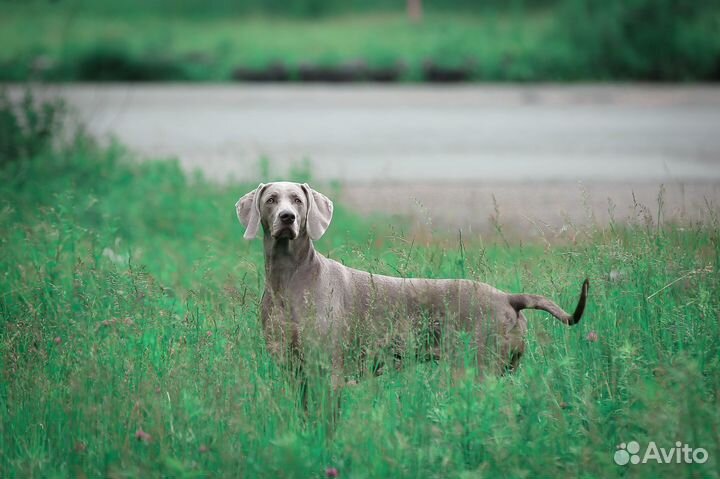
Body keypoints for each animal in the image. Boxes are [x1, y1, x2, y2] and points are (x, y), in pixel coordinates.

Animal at [239, 182, 588, 388]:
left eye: (298, 200)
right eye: (271, 200)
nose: (287, 217)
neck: (288, 278)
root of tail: (509, 298)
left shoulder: (329, 370)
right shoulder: (291, 367)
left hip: (476, 369)